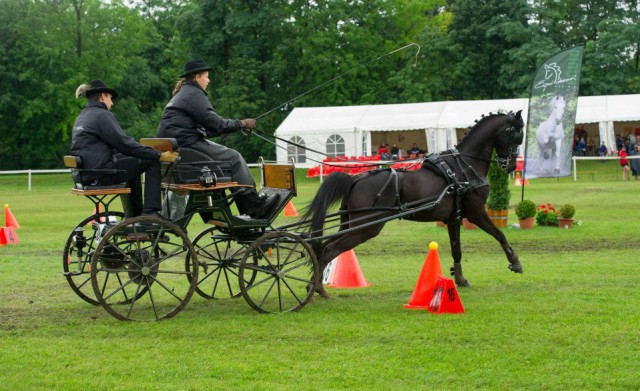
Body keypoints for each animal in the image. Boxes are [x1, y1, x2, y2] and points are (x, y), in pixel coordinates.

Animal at [302, 108, 524, 298]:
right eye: (516, 135)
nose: (511, 165)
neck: (463, 166)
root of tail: (355, 179)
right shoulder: (476, 212)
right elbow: (500, 234)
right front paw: (515, 262)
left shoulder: (454, 218)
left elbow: (457, 249)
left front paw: (460, 279)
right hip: (366, 227)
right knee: (330, 249)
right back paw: (319, 289)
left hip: (351, 224)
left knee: (324, 246)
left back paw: (313, 286)